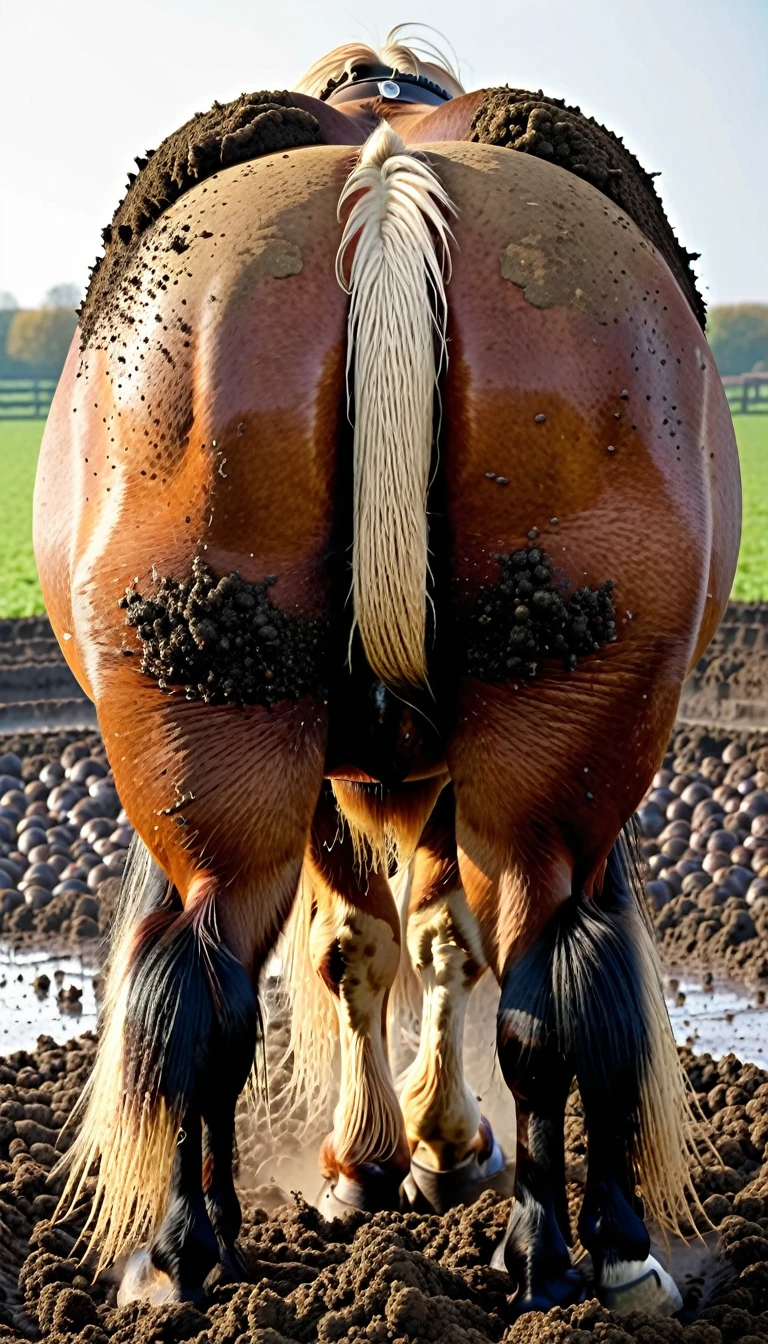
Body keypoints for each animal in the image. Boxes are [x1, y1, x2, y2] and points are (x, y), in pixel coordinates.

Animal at [33, 23, 742, 1322]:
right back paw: (563, 1252)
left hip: (222, 743)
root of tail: (388, 180)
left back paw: (186, 1253)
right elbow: (438, 947)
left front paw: (392, 1155)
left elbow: (372, 949)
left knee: (211, 987)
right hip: (547, 747)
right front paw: (421, 1151)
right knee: (543, 989)